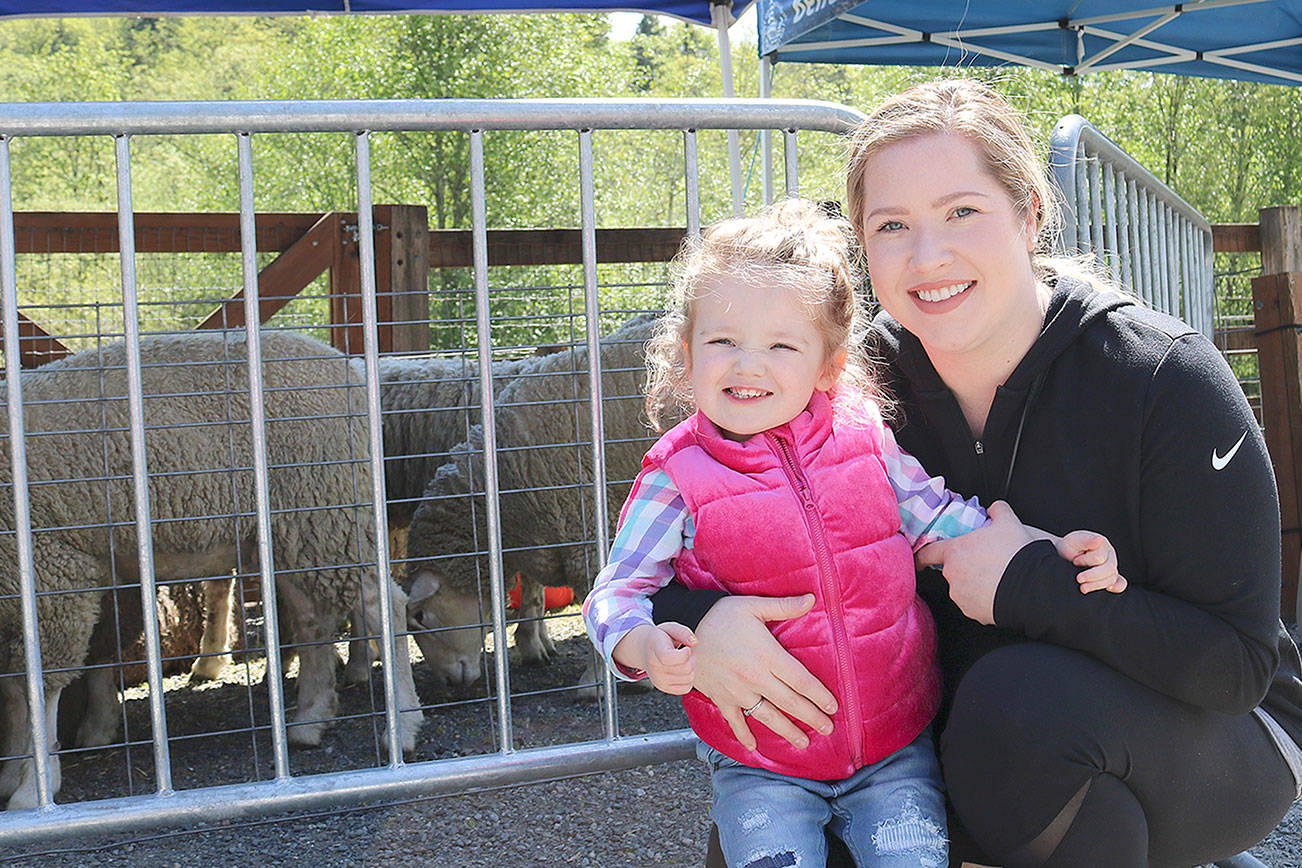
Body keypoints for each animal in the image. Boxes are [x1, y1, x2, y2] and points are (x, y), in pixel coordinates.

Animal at [0, 329, 424, 812]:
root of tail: (345, 365)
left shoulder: (50, 569)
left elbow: (37, 685)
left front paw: (33, 787)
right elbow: (12, 686)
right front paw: (12, 771)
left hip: (326, 505)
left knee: (383, 604)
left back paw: (403, 728)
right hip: (292, 528)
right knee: (311, 618)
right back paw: (310, 720)